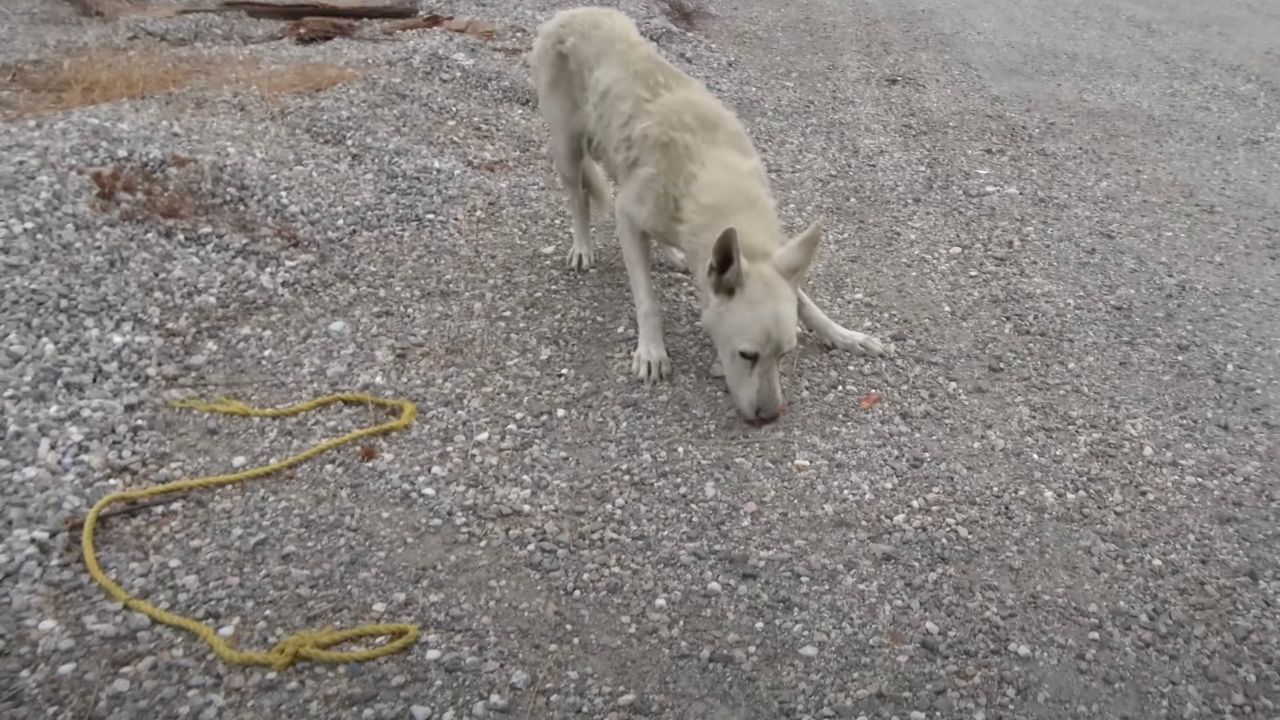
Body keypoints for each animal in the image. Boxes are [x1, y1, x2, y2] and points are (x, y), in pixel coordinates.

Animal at [527, 7, 880, 420]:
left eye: (785, 354)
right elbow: (647, 300)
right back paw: (583, 247)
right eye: (747, 355)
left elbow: (807, 304)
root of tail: (573, 12)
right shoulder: (626, 216)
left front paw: (844, 335)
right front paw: (652, 351)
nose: (768, 418)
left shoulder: (766, 257)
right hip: (568, 151)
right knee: (578, 200)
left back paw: (670, 253)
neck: (716, 178)